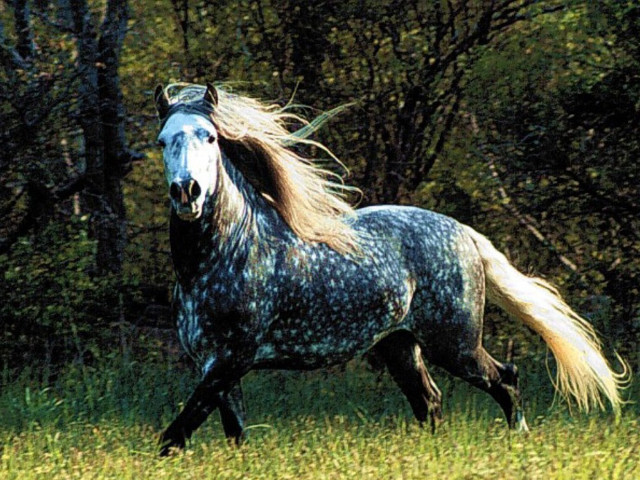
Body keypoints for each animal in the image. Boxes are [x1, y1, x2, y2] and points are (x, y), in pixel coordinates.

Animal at [153, 82, 626, 456]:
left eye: (211, 137)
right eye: (162, 140)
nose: (187, 192)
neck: (226, 256)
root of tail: (464, 233)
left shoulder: (231, 360)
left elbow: (174, 435)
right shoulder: (217, 366)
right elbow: (232, 434)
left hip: (454, 344)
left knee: (504, 379)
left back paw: (519, 441)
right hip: (400, 345)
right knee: (430, 402)